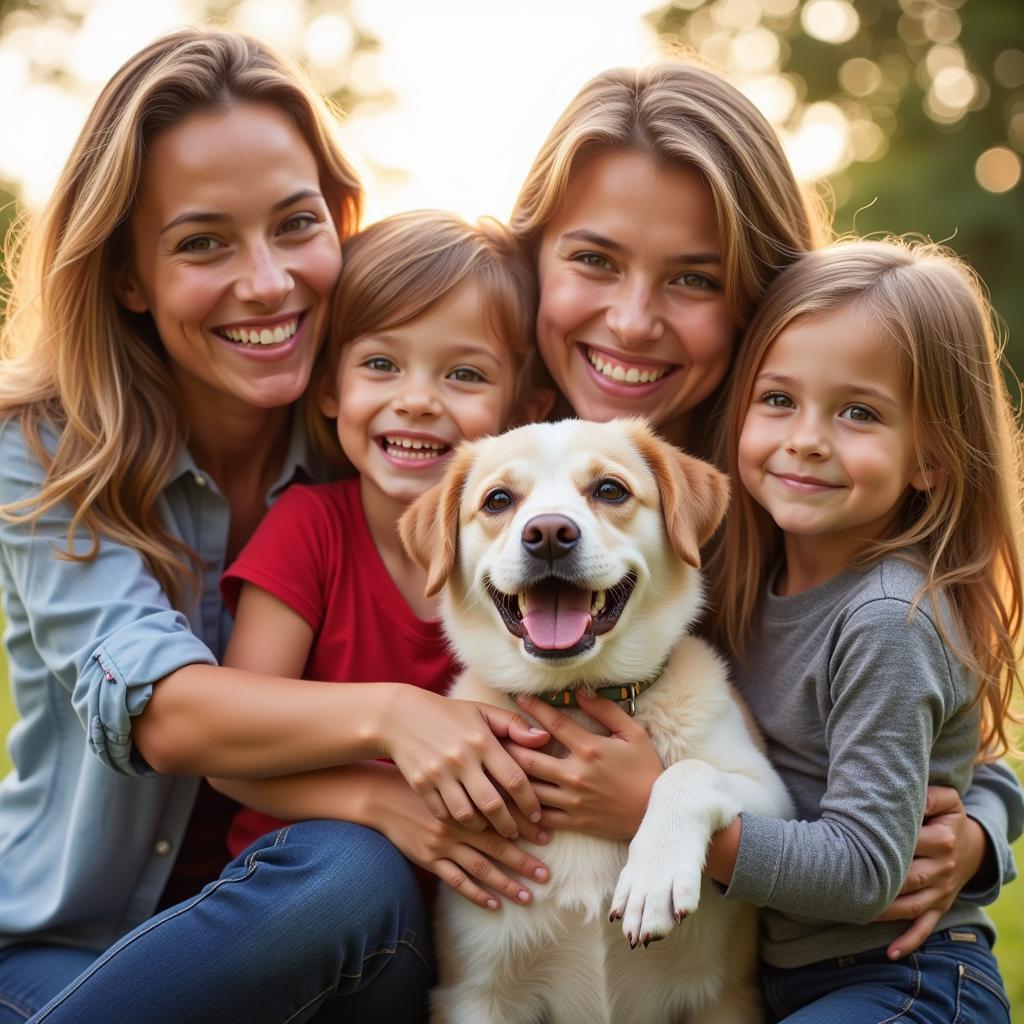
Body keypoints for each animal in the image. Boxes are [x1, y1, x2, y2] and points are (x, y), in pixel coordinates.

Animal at [399, 417, 790, 1024]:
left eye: (609, 490)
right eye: (498, 500)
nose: (549, 533)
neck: (577, 703)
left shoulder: (773, 797)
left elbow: (689, 773)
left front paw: (654, 877)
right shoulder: (475, 996)